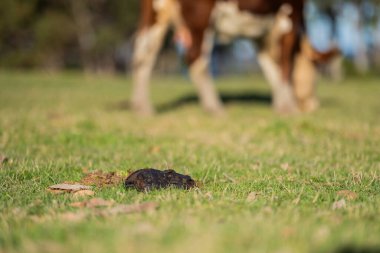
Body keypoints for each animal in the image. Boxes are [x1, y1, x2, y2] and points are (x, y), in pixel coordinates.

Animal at [131, 0, 338, 115]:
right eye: (315, 74)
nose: (312, 105)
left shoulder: (261, 37)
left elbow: (271, 69)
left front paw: (281, 104)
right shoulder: (290, 18)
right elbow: (285, 65)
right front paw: (288, 107)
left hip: (154, 15)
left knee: (143, 55)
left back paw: (143, 108)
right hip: (201, 16)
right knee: (195, 58)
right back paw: (214, 107)